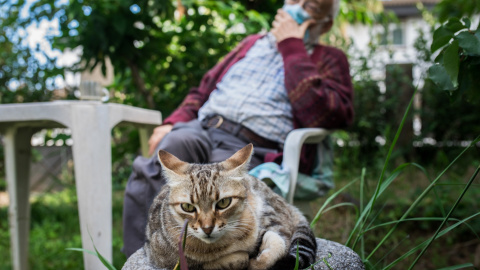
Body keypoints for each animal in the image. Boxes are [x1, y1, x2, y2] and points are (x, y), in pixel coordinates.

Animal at [146, 144, 318, 268]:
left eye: (223, 203)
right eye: (188, 207)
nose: (207, 228)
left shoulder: (261, 229)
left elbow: (278, 243)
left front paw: (256, 261)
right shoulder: (164, 261)